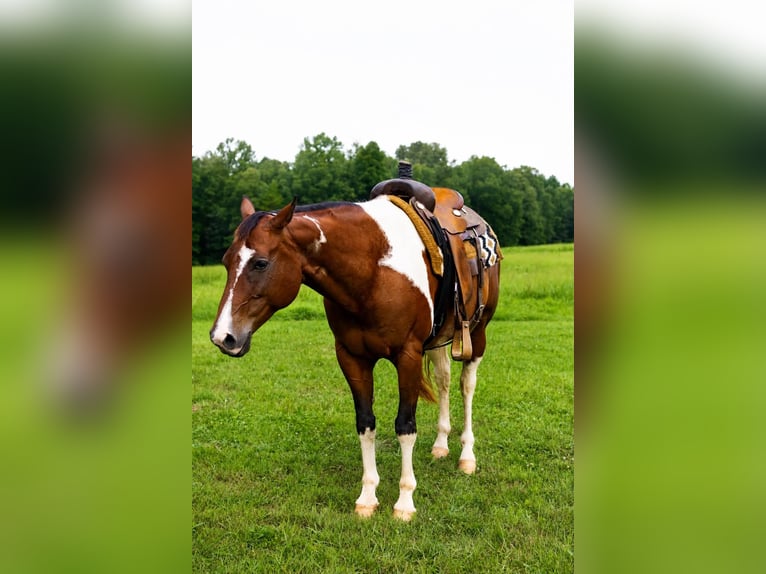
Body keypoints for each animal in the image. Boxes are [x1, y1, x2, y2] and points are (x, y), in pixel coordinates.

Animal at [210, 193, 500, 520]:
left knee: (466, 387)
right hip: (439, 339)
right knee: (444, 381)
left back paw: (466, 455)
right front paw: (368, 497)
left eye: (260, 263)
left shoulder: (408, 356)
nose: (223, 337)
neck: (371, 273)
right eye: (226, 262)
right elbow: (366, 423)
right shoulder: (351, 358)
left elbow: (405, 426)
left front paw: (404, 501)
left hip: (477, 334)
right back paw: (441, 444)